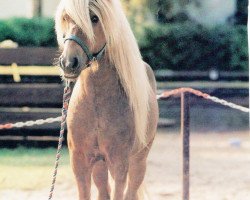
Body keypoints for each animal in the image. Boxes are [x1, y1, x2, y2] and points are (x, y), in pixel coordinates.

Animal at [56, 0, 159, 199]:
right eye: (66, 17)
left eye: (94, 18)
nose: (68, 63)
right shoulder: (80, 162)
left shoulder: (119, 164)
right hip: (99, 166)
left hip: (139, 161)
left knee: (131, 191)